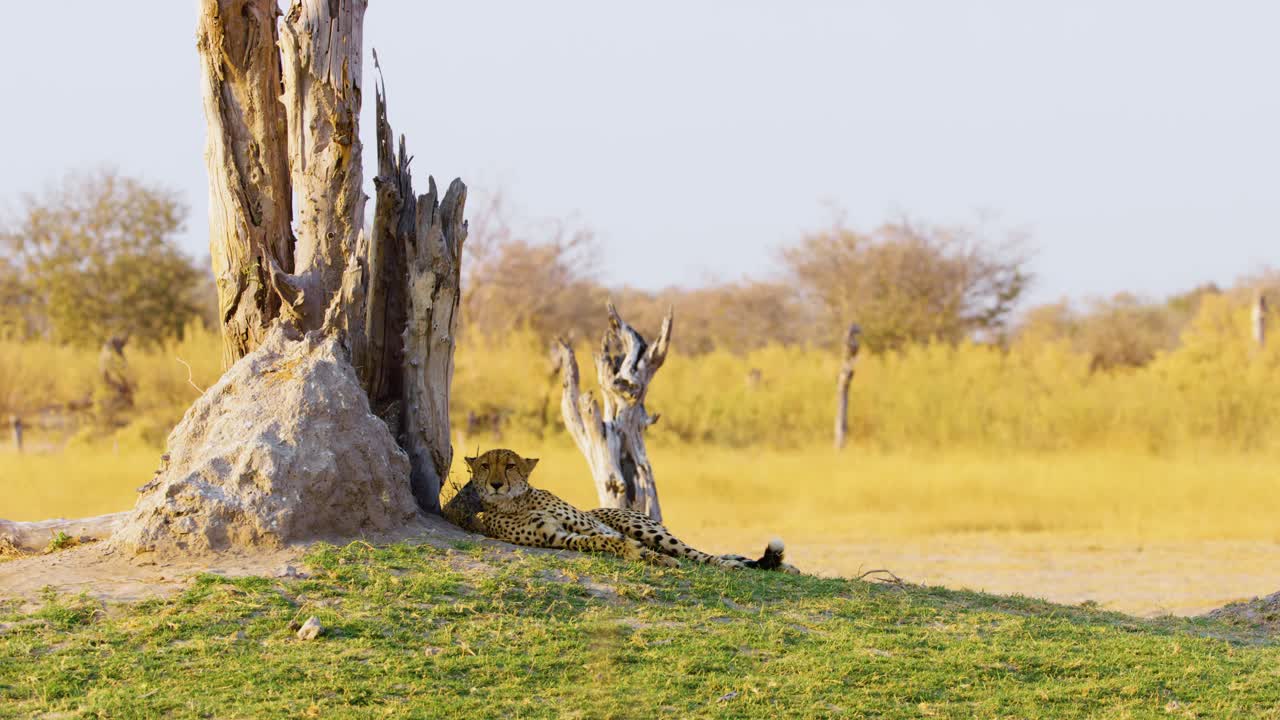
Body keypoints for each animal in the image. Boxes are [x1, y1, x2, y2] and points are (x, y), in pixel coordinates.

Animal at [450, 445, 788, 568]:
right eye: (484, 466)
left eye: (509, 466)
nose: (495, 484)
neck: (515, 502)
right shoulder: (556, 536)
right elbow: (604, 542)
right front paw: (638, 554)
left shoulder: (586, 524)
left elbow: (612, 537)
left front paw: (650, 556)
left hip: (642, 525)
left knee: (695, 551)